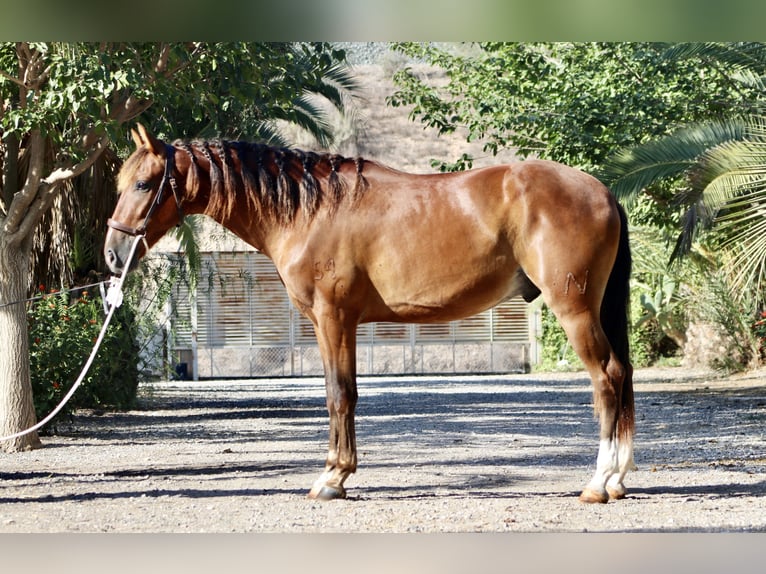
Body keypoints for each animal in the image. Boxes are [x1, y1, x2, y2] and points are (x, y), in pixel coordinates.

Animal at [105, 125, 640, 504]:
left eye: (144, 183)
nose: (112, 254)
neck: (310, 210)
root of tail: (602, 191)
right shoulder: (335, 323)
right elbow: (341, 393)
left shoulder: (333, 318)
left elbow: (340, 395)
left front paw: (332, 478)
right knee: (622, 374)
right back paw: (617, 480)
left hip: (574, 310)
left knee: (606, 379)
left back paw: (599, 482)